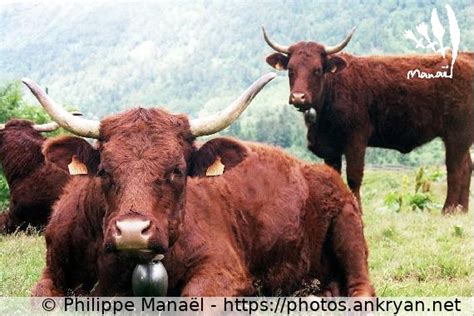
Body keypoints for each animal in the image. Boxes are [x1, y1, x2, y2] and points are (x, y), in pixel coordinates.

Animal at [23, 75, 374, 298]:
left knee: (362, 288)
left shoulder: (222, 269)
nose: (133, 231)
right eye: (105, 170)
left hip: (349, 230)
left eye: (177, 170)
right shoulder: (50, 272)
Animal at [262, 27, 474, 214]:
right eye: (290, 70)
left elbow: (354, 177)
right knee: (467, 167)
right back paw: (461, 210)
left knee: (456, 170)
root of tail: (465, 56)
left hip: (456, 135)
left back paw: (448, 210)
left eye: (317, 70)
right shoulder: (331, 147)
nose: (298, 97)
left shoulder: (356, 140)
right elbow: (334, 177)